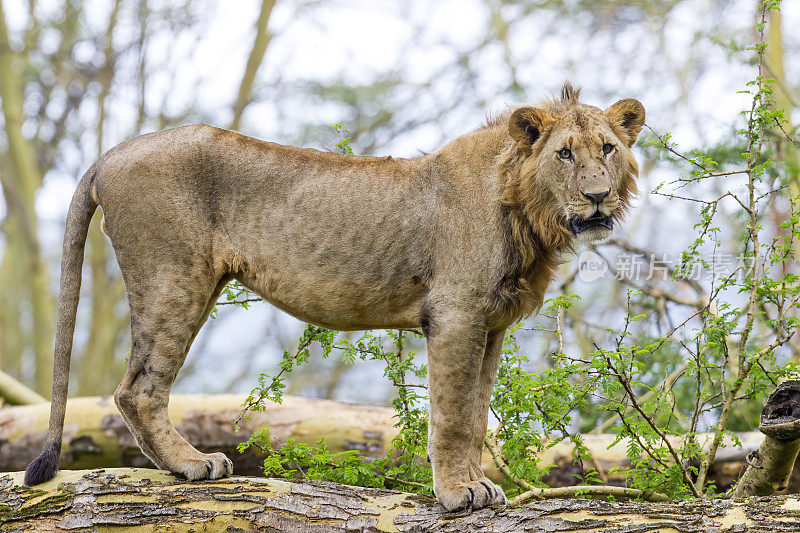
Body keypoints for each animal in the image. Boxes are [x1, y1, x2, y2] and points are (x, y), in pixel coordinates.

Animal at [25, 83, 644, 512]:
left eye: (608, 149)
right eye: (565, 154)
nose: (597, 197)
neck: (528, 215)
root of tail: (111, 154)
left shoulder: (490, 325)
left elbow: (475, 416)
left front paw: (477, 485)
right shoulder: (455, 315)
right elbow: (451, 415)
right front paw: (455, 494)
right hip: (173, 277)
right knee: (137, 389)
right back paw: (192, 467)